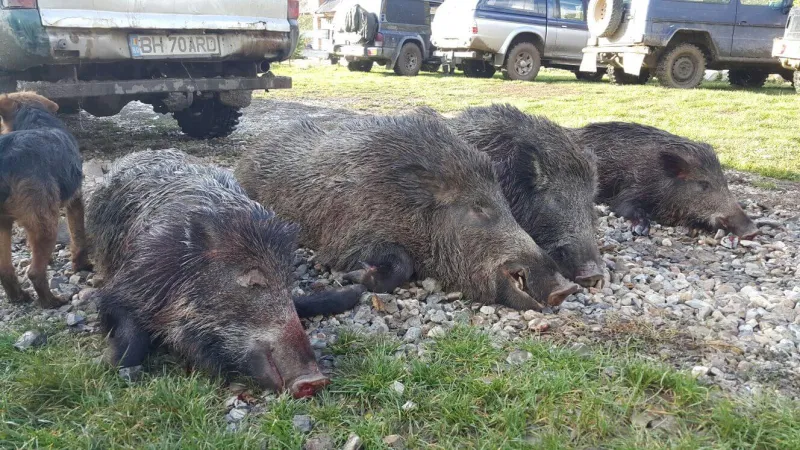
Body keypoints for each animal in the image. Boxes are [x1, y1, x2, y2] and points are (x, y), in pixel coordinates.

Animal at [86, 150, 363, 397]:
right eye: (253, 281)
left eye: (287, 281)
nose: (316, 380)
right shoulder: (124, 286)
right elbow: (130, 337)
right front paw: (107, 364)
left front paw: (353, 293)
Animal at [235, 116, 579, 311]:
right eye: (478, 207)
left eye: (506, 203)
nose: (566, 289)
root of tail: (248, 152)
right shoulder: (344, 239)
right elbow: (400, 262)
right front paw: (354, 277)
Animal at [572, 122, 758, 238]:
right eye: (703, 184)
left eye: (724, 182)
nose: (753, 232)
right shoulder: (632, 188)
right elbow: (622, 206)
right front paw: (641, 230)